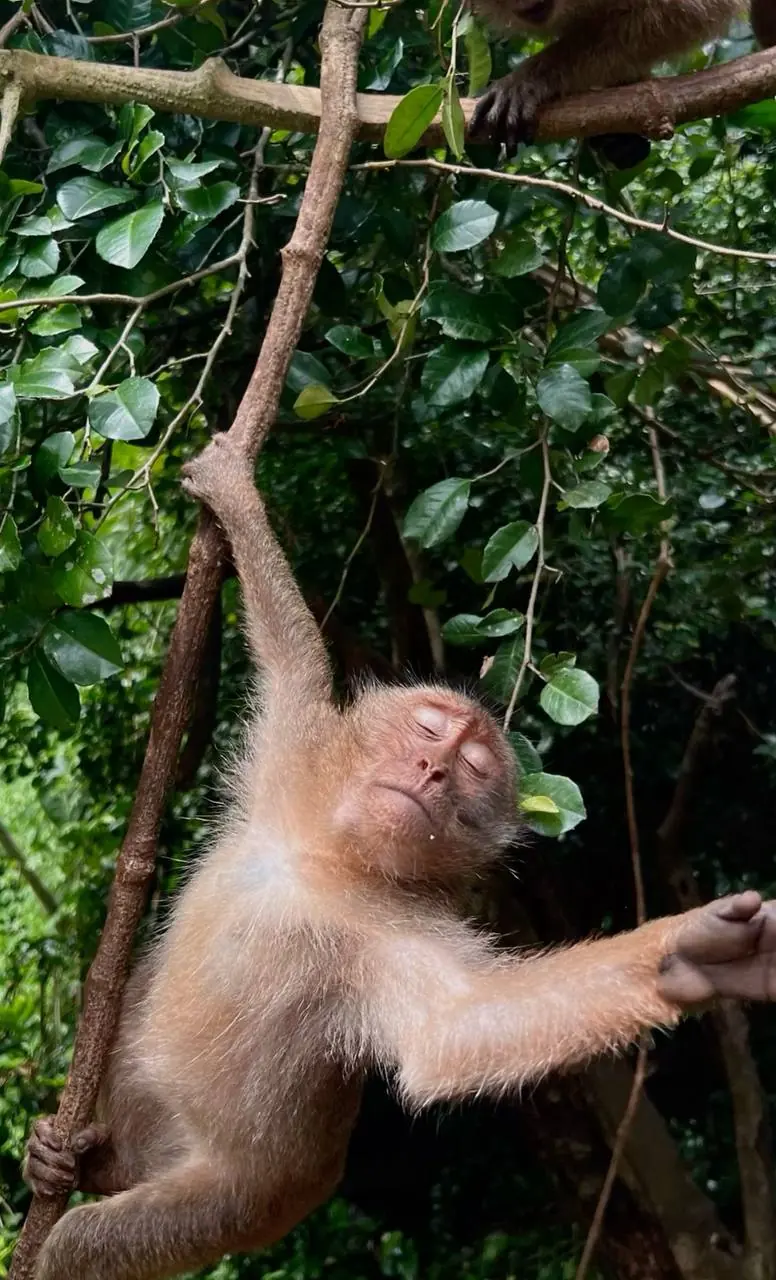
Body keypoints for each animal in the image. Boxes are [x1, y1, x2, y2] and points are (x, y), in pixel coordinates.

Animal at [22, 433, 776, 1280]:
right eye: (427, 730)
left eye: (474, 770)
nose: (434, 770)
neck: (328, 859)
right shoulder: (294, 757)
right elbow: (292, 660)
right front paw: (237, 494)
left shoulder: (392, 932)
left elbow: (457, 1024)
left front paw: (697, 956)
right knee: (137, 983)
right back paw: (85, 1157)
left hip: (238, 1204)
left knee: (87, 1245)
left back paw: (90, 1190)